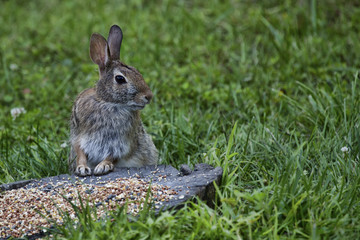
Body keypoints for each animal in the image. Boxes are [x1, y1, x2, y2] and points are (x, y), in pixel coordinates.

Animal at [68, 24, 158, 176]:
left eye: (137, 71)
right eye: (120, 79)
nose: (148, 96)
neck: (108, 103)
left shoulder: (122, 143)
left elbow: (113, 156)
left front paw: (103, 167)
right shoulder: (78, 137)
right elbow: (80, 153)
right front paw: (82, 168)